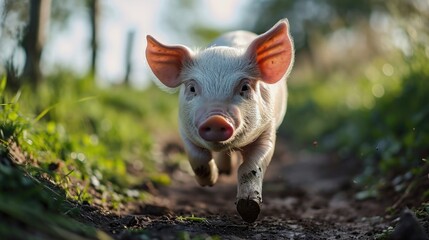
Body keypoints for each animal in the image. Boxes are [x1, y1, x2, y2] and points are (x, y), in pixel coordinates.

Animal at [145, 18, 292, 223]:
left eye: (245, 87)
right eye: (192, 88)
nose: (216, 118)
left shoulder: (267, 130)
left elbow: (251, 167)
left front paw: (249, 210)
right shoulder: (183, 128)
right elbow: (198, 158)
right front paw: (210, 181)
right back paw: (223, 171)